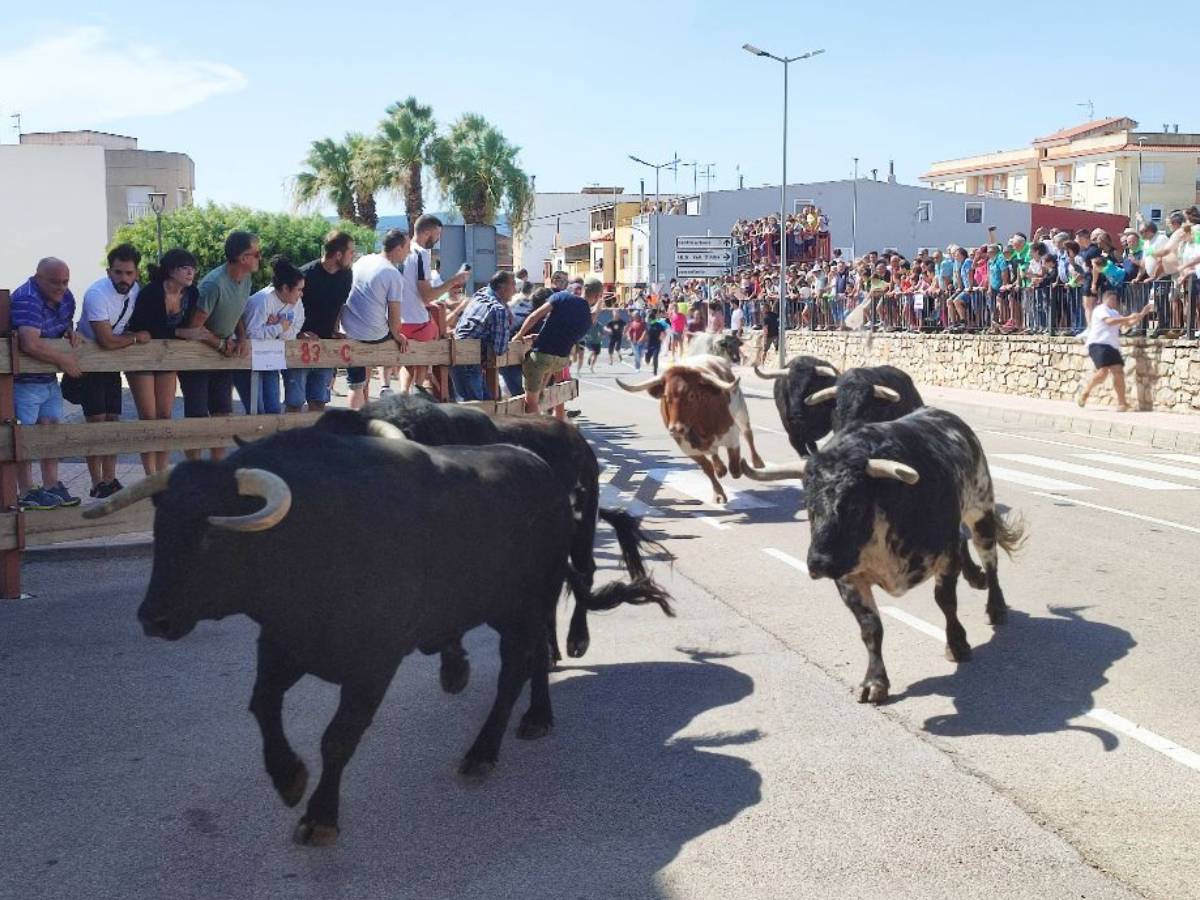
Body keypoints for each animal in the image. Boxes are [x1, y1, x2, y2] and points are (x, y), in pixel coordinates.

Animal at [87, 429, 672, 844]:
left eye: (212, 536)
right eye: (160, 529)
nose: (153, 619)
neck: (314, 535)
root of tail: (547, 474)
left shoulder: (374, 662)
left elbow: (338, 737)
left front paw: (320, 816)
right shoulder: (280, 644)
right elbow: (262, 706)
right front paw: (288, 777)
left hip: (525, 603)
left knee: (516, 668)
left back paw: (486, 750)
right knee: (532, 659)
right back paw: (536, 719)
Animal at [748, 408, 1022, 705]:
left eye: (854, 505)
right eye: (808, 504)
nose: (818, 562)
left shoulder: (945, 557)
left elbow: (946, 602)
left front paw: (957, 644)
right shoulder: (848, 578)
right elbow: (871, 627)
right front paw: (875, 681)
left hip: (981, 511)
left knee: (990, 560)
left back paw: (995, 606)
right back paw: (976, 577)